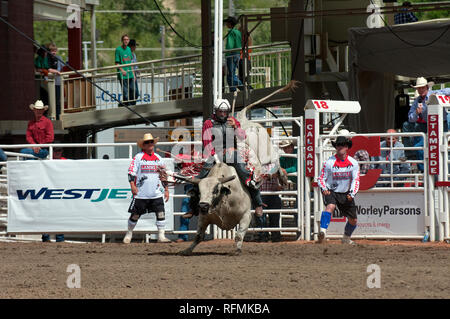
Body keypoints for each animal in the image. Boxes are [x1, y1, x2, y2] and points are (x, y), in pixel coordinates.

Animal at [163, 81, 298, 256]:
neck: (224, 199)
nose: (203, 205)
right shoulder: (204, 218)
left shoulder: (246, 216)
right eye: (199, 191)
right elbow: (199, 236)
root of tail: (242, 118)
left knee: (276, 163)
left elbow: (239, 234)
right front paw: (187, 250)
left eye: (215, 190)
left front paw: (238, 249)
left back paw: (282, 178)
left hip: (268, 154)